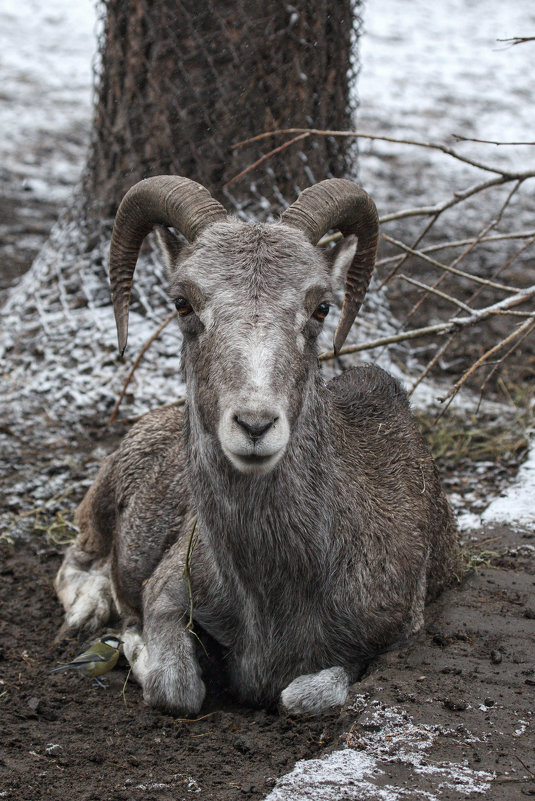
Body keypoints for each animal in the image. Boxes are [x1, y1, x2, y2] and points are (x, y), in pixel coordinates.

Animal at [53, 175, 456, 712]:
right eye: (182, 302)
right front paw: (134, 642)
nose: (255, 425)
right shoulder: (167, 593)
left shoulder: (394, 638)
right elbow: (176, 688)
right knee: (77, 560)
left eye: (321, 307)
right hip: (100, 511)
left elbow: (300, 695)